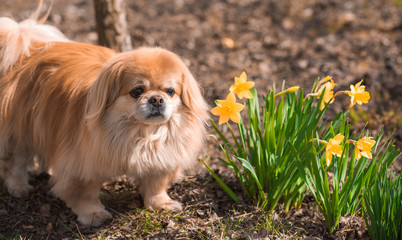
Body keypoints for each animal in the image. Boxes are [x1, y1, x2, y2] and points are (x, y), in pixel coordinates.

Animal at [0, 11, 207, 225]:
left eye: (170, 91)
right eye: (137, 91)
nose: (157, 99)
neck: (140, 133)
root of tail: (26, 52)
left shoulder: (161, 160)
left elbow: (155, 186)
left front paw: (161, 205)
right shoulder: (84, 164)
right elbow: (86, 193)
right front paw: (93, 215)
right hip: (19, 130)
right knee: (15, 160)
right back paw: (18, 187)